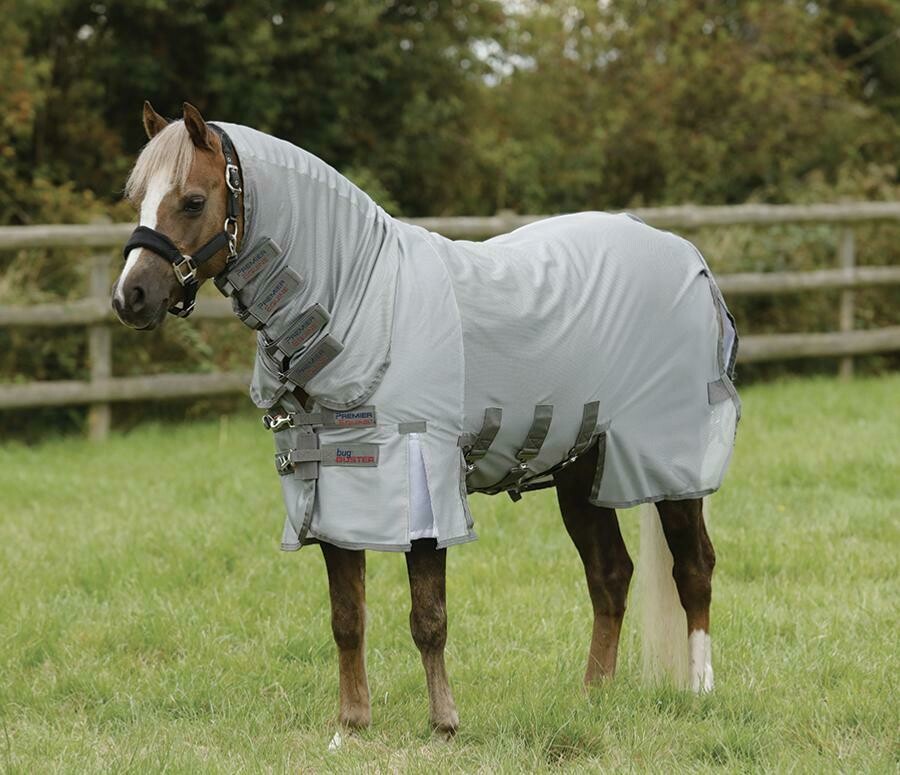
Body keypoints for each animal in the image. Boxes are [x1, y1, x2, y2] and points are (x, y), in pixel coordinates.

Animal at [112, 101, 738, 736]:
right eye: (136, 196)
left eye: (193, 200)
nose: (130, 297)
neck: (361, 302)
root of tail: (686, 256)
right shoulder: (335, 491)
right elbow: (347, 618)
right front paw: (351, 726)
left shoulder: (422, 485)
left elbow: (428, 617)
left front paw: (443, 725)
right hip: (578, 471)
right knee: (611, 575)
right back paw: (594, 698)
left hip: (671, 467)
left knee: (694, 569)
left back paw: (702, 689)